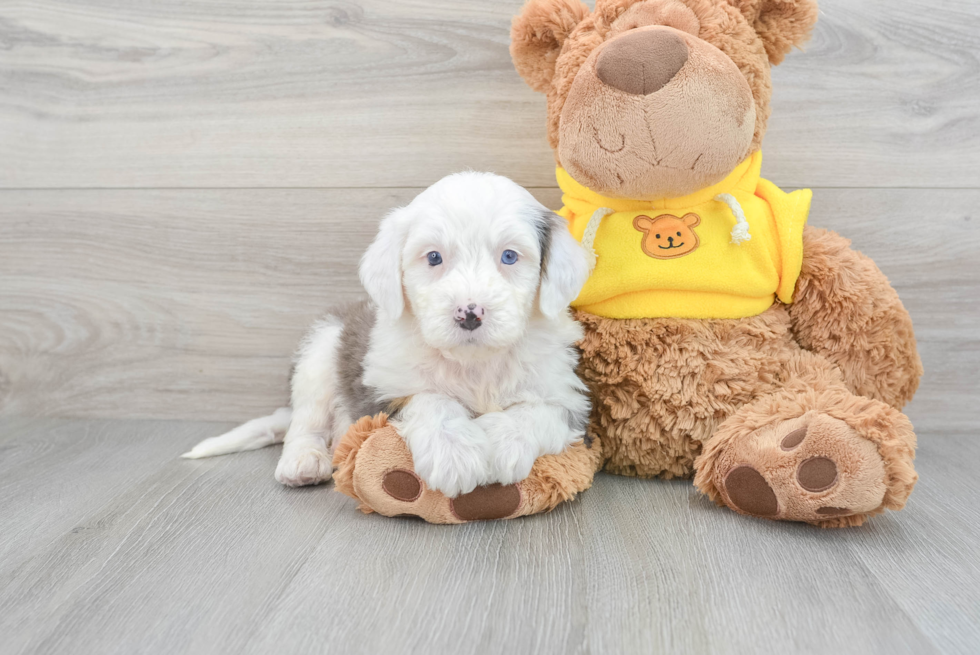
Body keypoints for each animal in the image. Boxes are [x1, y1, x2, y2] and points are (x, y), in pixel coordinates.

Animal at [188, 170, 592, 498]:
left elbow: (538, 412)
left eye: (509, 256)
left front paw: (501, 441)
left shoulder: (569, 401)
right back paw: (303, 461)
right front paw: (454, 453)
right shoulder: (383, 390)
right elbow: (431, 399)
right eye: (433, 257)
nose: (469, 314)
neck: (474, 364)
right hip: (320, 349)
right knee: (305, 420)